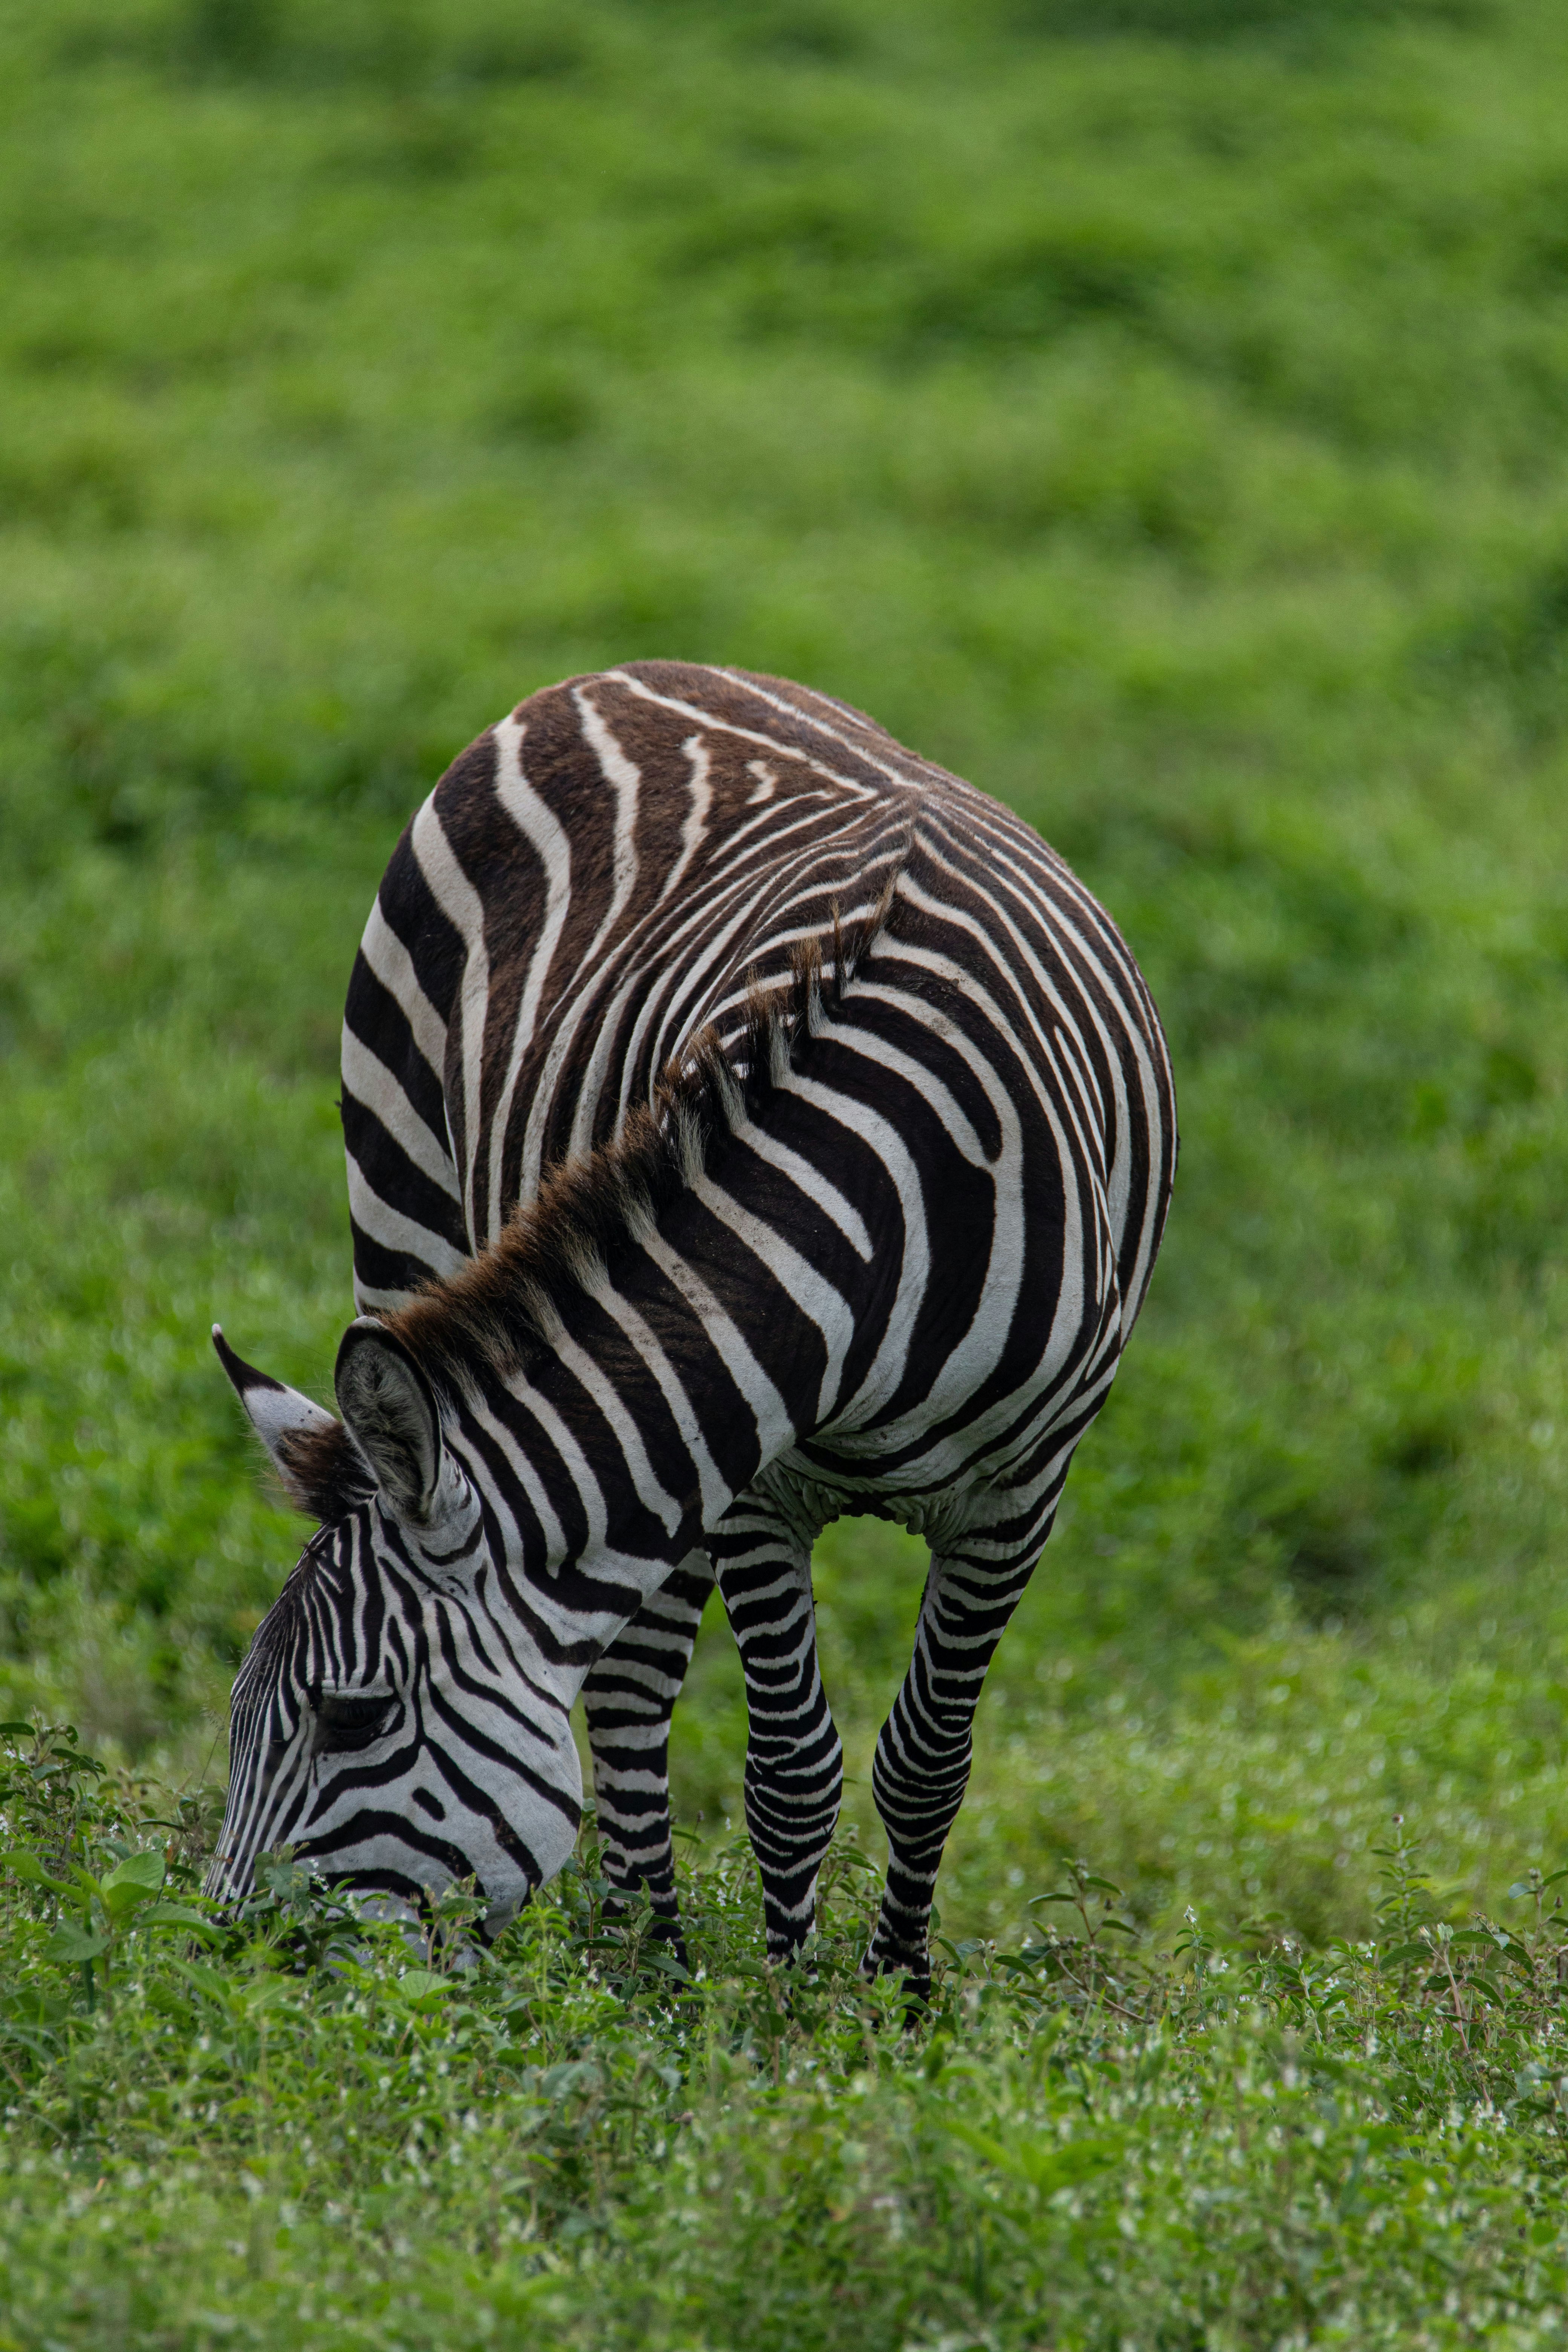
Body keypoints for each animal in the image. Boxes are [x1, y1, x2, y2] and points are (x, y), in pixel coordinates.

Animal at [207, 661, 1175, 1993]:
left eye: (352, 1717)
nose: (220, 1978)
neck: (874, 1199)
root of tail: (621, 674)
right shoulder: (752, 1483)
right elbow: (791, 1768)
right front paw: (785, 2004)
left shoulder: (1020, 1496)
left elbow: (925, 1764)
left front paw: (892, 1999)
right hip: (405, 1204)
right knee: (627, 1686)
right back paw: (646, 1966)